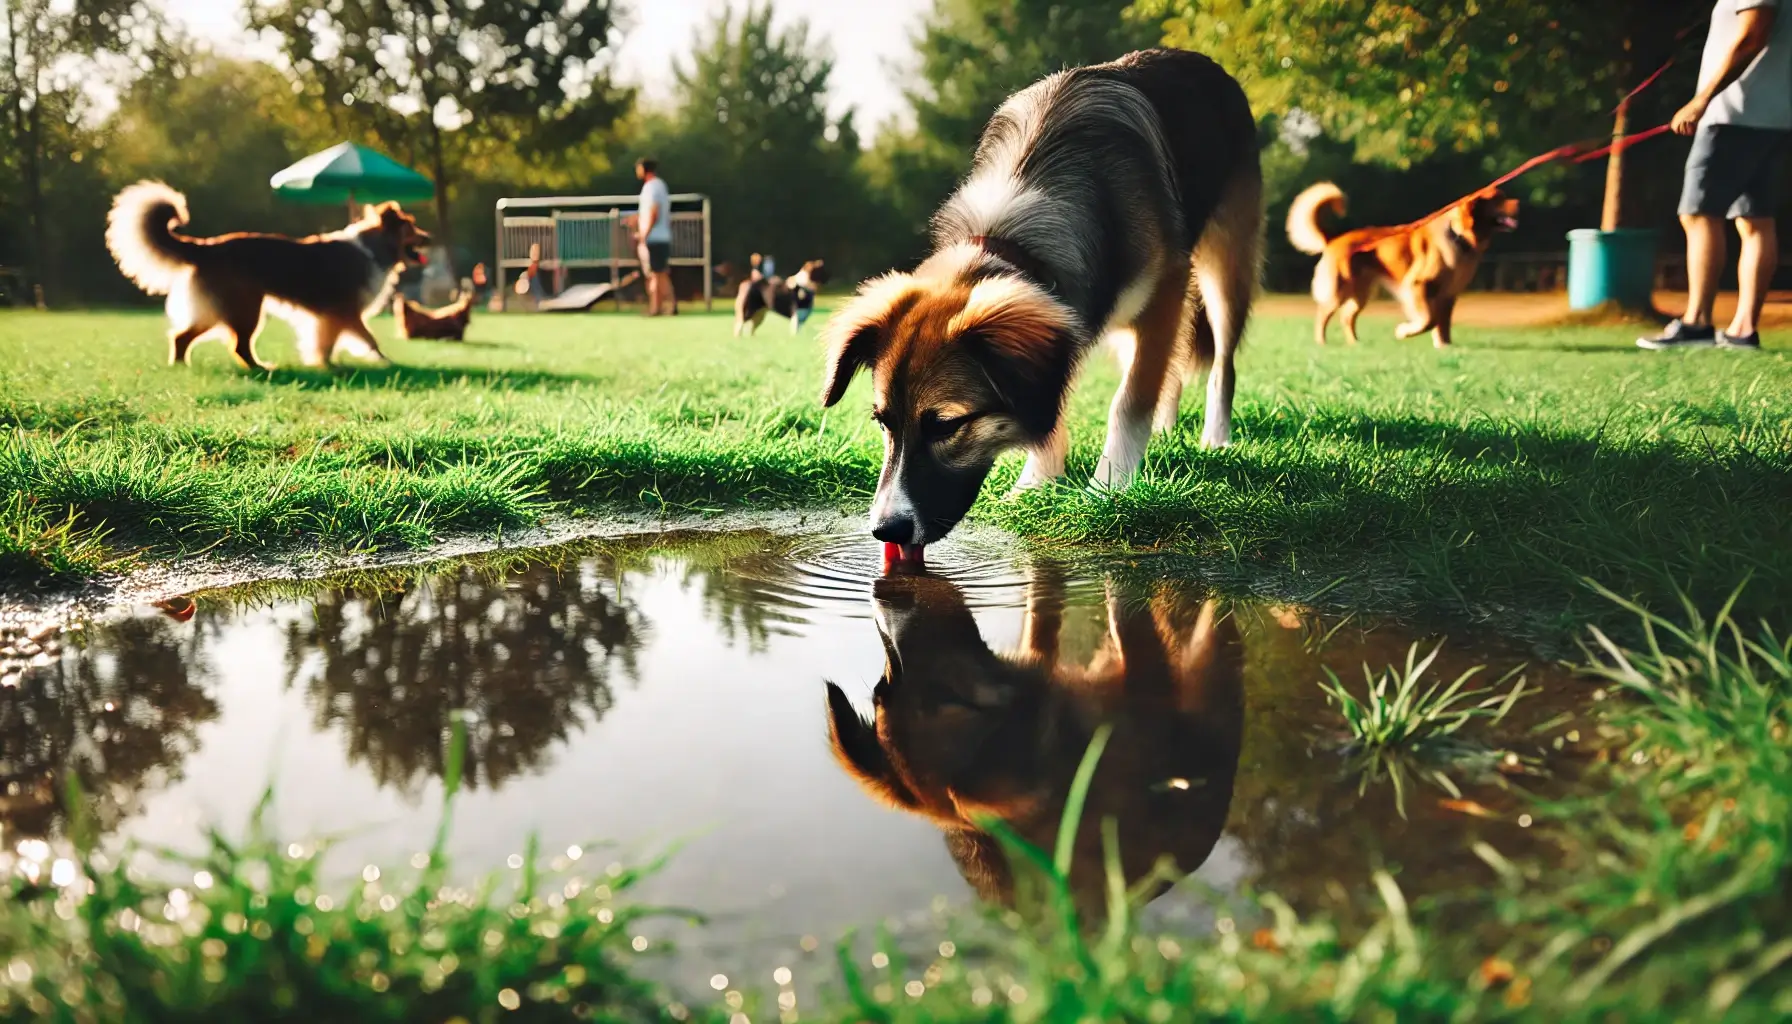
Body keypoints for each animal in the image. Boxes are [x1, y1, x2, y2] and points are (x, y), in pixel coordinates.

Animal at [112, 182, 433, 371]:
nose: (429, 237)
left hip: (221, 310)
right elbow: (369, 339)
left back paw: (181, 366)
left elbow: (326, 343)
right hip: (246, 310)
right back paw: (260, 368)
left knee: (182, 337)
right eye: (411, 226)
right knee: (238, 345)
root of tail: (207, 247)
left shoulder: (330, 317)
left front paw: (324, 365)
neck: (374, 249)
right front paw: (384, 361)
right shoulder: (344, 312)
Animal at [820, 49, 1261, 570]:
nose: (885, 530)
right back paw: (1167, 427)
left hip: (1225, 262)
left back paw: (1216, 437)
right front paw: (1037, 483)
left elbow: (1129, 401)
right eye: (882, 422)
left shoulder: (1164, 291)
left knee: (1221, 364)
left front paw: (1109, 488)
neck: (1013, 235)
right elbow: (1056, 405)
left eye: (946, 425)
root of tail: (1203, 61)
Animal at [1283, 182, 1519, 346]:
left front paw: (1445, 345)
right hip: (1339, 289)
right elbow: (1429, 320)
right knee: (1323, 314)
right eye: (1498, 199)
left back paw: (1354, 343)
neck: (1459, 236)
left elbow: (1442, 323)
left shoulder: (1448, 294)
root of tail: (1334, 239)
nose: (1518, 203)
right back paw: (1322, 342)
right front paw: (1404, 331)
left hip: (1361, 292)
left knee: (1346, 317)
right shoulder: (1419, 285)